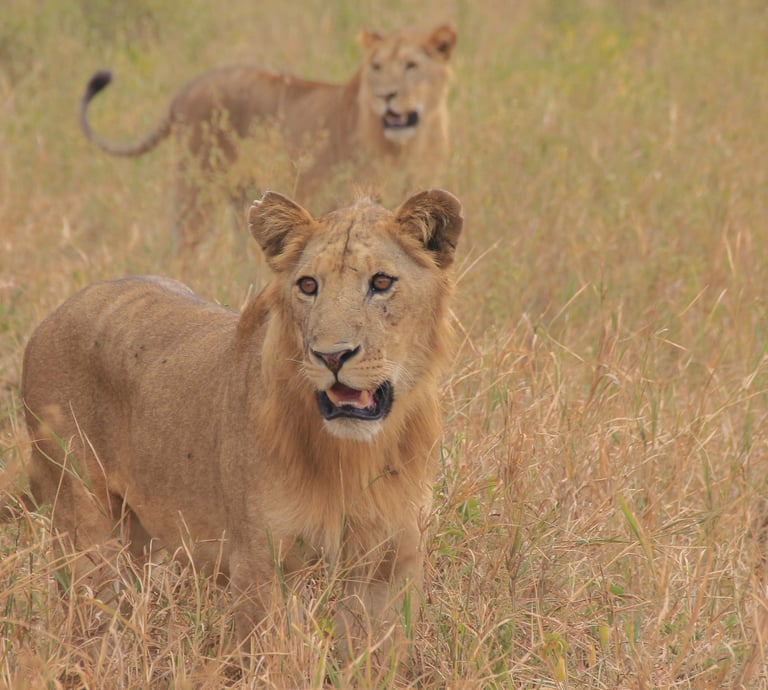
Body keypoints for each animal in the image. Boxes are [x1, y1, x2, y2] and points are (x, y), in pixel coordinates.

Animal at [21, 189, 462, 658]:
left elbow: (375, 657)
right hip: (82, 524)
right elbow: (269, 659)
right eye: (309, 285)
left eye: (381, 282)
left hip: (136, 532)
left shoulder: (390, 564)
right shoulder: (259, 563)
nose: (331, 356)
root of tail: (53, 315)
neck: (354, 454)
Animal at [79, 24, 457, 266]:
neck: (409, 146)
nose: (385, 95)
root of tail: (186, 89)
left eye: (411, 66)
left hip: (241, 195)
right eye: (376, 67)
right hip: (196, 186)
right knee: (183, 246)